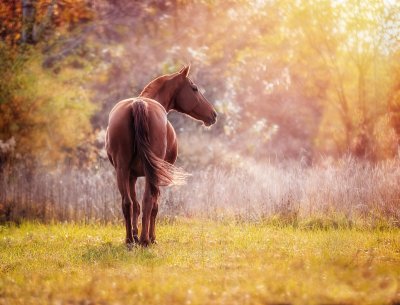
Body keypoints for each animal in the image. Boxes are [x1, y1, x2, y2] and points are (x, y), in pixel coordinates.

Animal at [104, 65, 217, 246]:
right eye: (194, 88)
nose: (213, 115)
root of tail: (139, 104)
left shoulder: (131, 176)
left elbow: (134, 205)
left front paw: (135, 234)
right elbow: (154, 206)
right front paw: (151, 237)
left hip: (122, 170)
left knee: (128, 203)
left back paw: (130, 240)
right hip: (150, 173)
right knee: (148, 202)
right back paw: (145, 240)